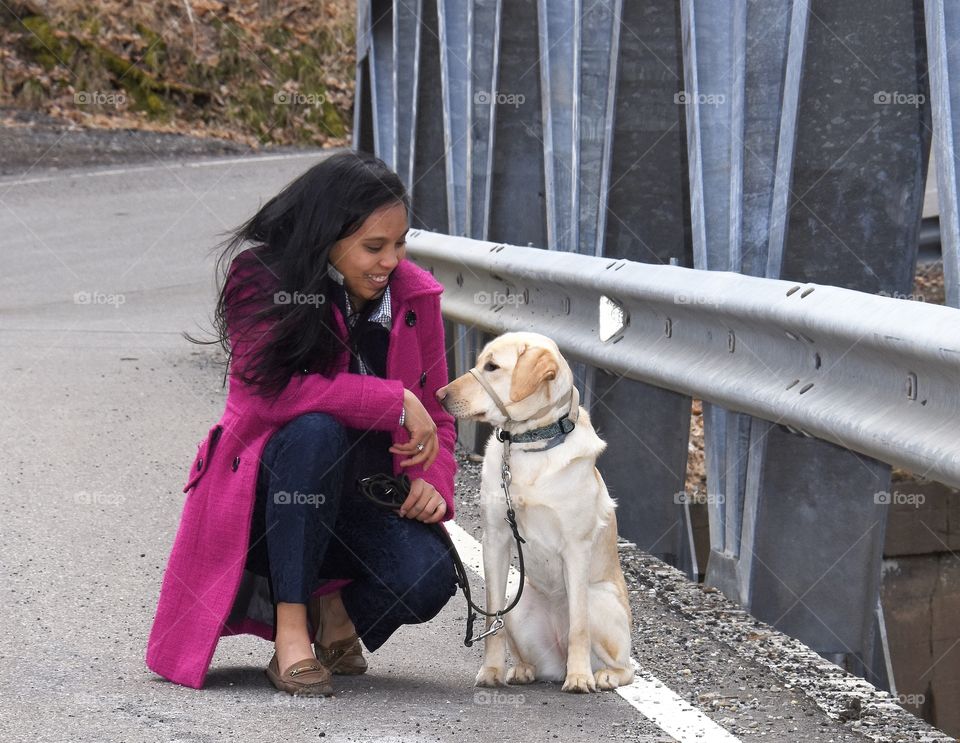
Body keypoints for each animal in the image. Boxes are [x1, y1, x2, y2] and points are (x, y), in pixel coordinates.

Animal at [436, 332, 632, 692]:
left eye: (492, 367)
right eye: (478, 361)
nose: (439, 395)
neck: (529, 444)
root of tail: (557, 659)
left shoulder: (576, 548)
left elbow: (579, 627)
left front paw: (579, 677)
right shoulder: (495, 540)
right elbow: (492, 618)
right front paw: (492, 671)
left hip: (598, 598)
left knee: (623, 665)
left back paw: (601, 675)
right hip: (519, 601)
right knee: (531, 656)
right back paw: (523, 669)